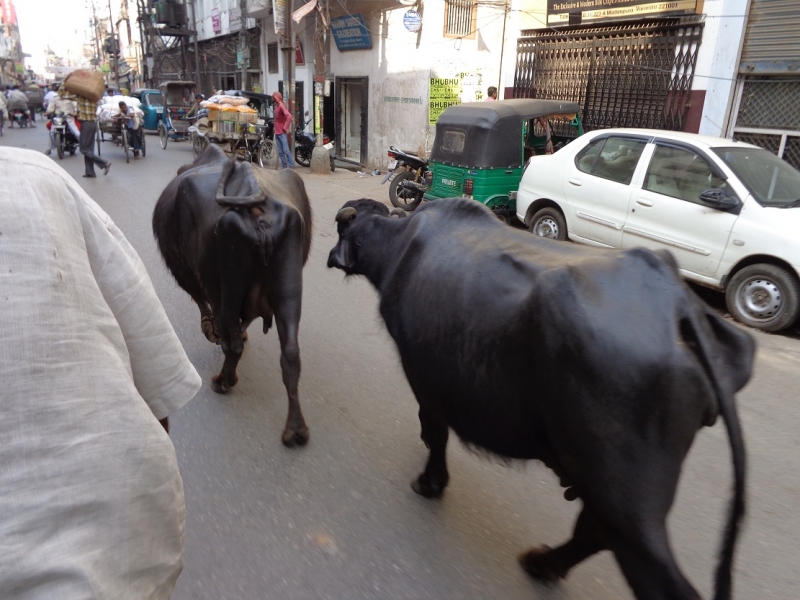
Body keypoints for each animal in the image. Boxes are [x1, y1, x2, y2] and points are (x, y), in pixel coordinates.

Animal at [153, 145, 312, 446]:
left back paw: (223, 381)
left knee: (233, 343)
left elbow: (205, 308)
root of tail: (255, 202)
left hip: (224, 287)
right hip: (289, 289)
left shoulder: (188, 274)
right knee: (291, 353)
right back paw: (295, 429)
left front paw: (212, 332)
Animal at [328, 199, 752, 600]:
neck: (400, 246)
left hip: (627, 501)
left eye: (342, 229)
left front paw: (430, 483)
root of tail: (679, 306)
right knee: (593, 532)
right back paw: (542, 564)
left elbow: (434, 431)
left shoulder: (423, 376)